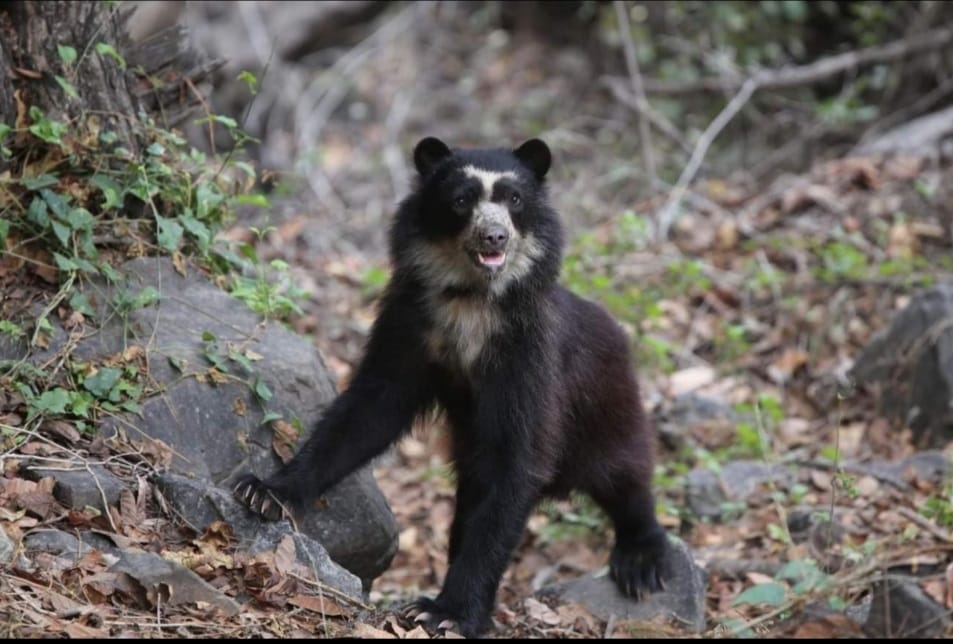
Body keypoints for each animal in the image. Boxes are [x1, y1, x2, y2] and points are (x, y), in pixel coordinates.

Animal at [234, 137, 664, 640]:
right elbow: (367, 411)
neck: (472, 300)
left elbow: (517, 461)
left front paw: (447, 613)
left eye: (514, 199)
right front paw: (265, 492)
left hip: (608, 407)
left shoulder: (527, 353)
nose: (494, 237)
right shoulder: (411, 324)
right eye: (461, 200)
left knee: (625, 476)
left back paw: (642, 560)